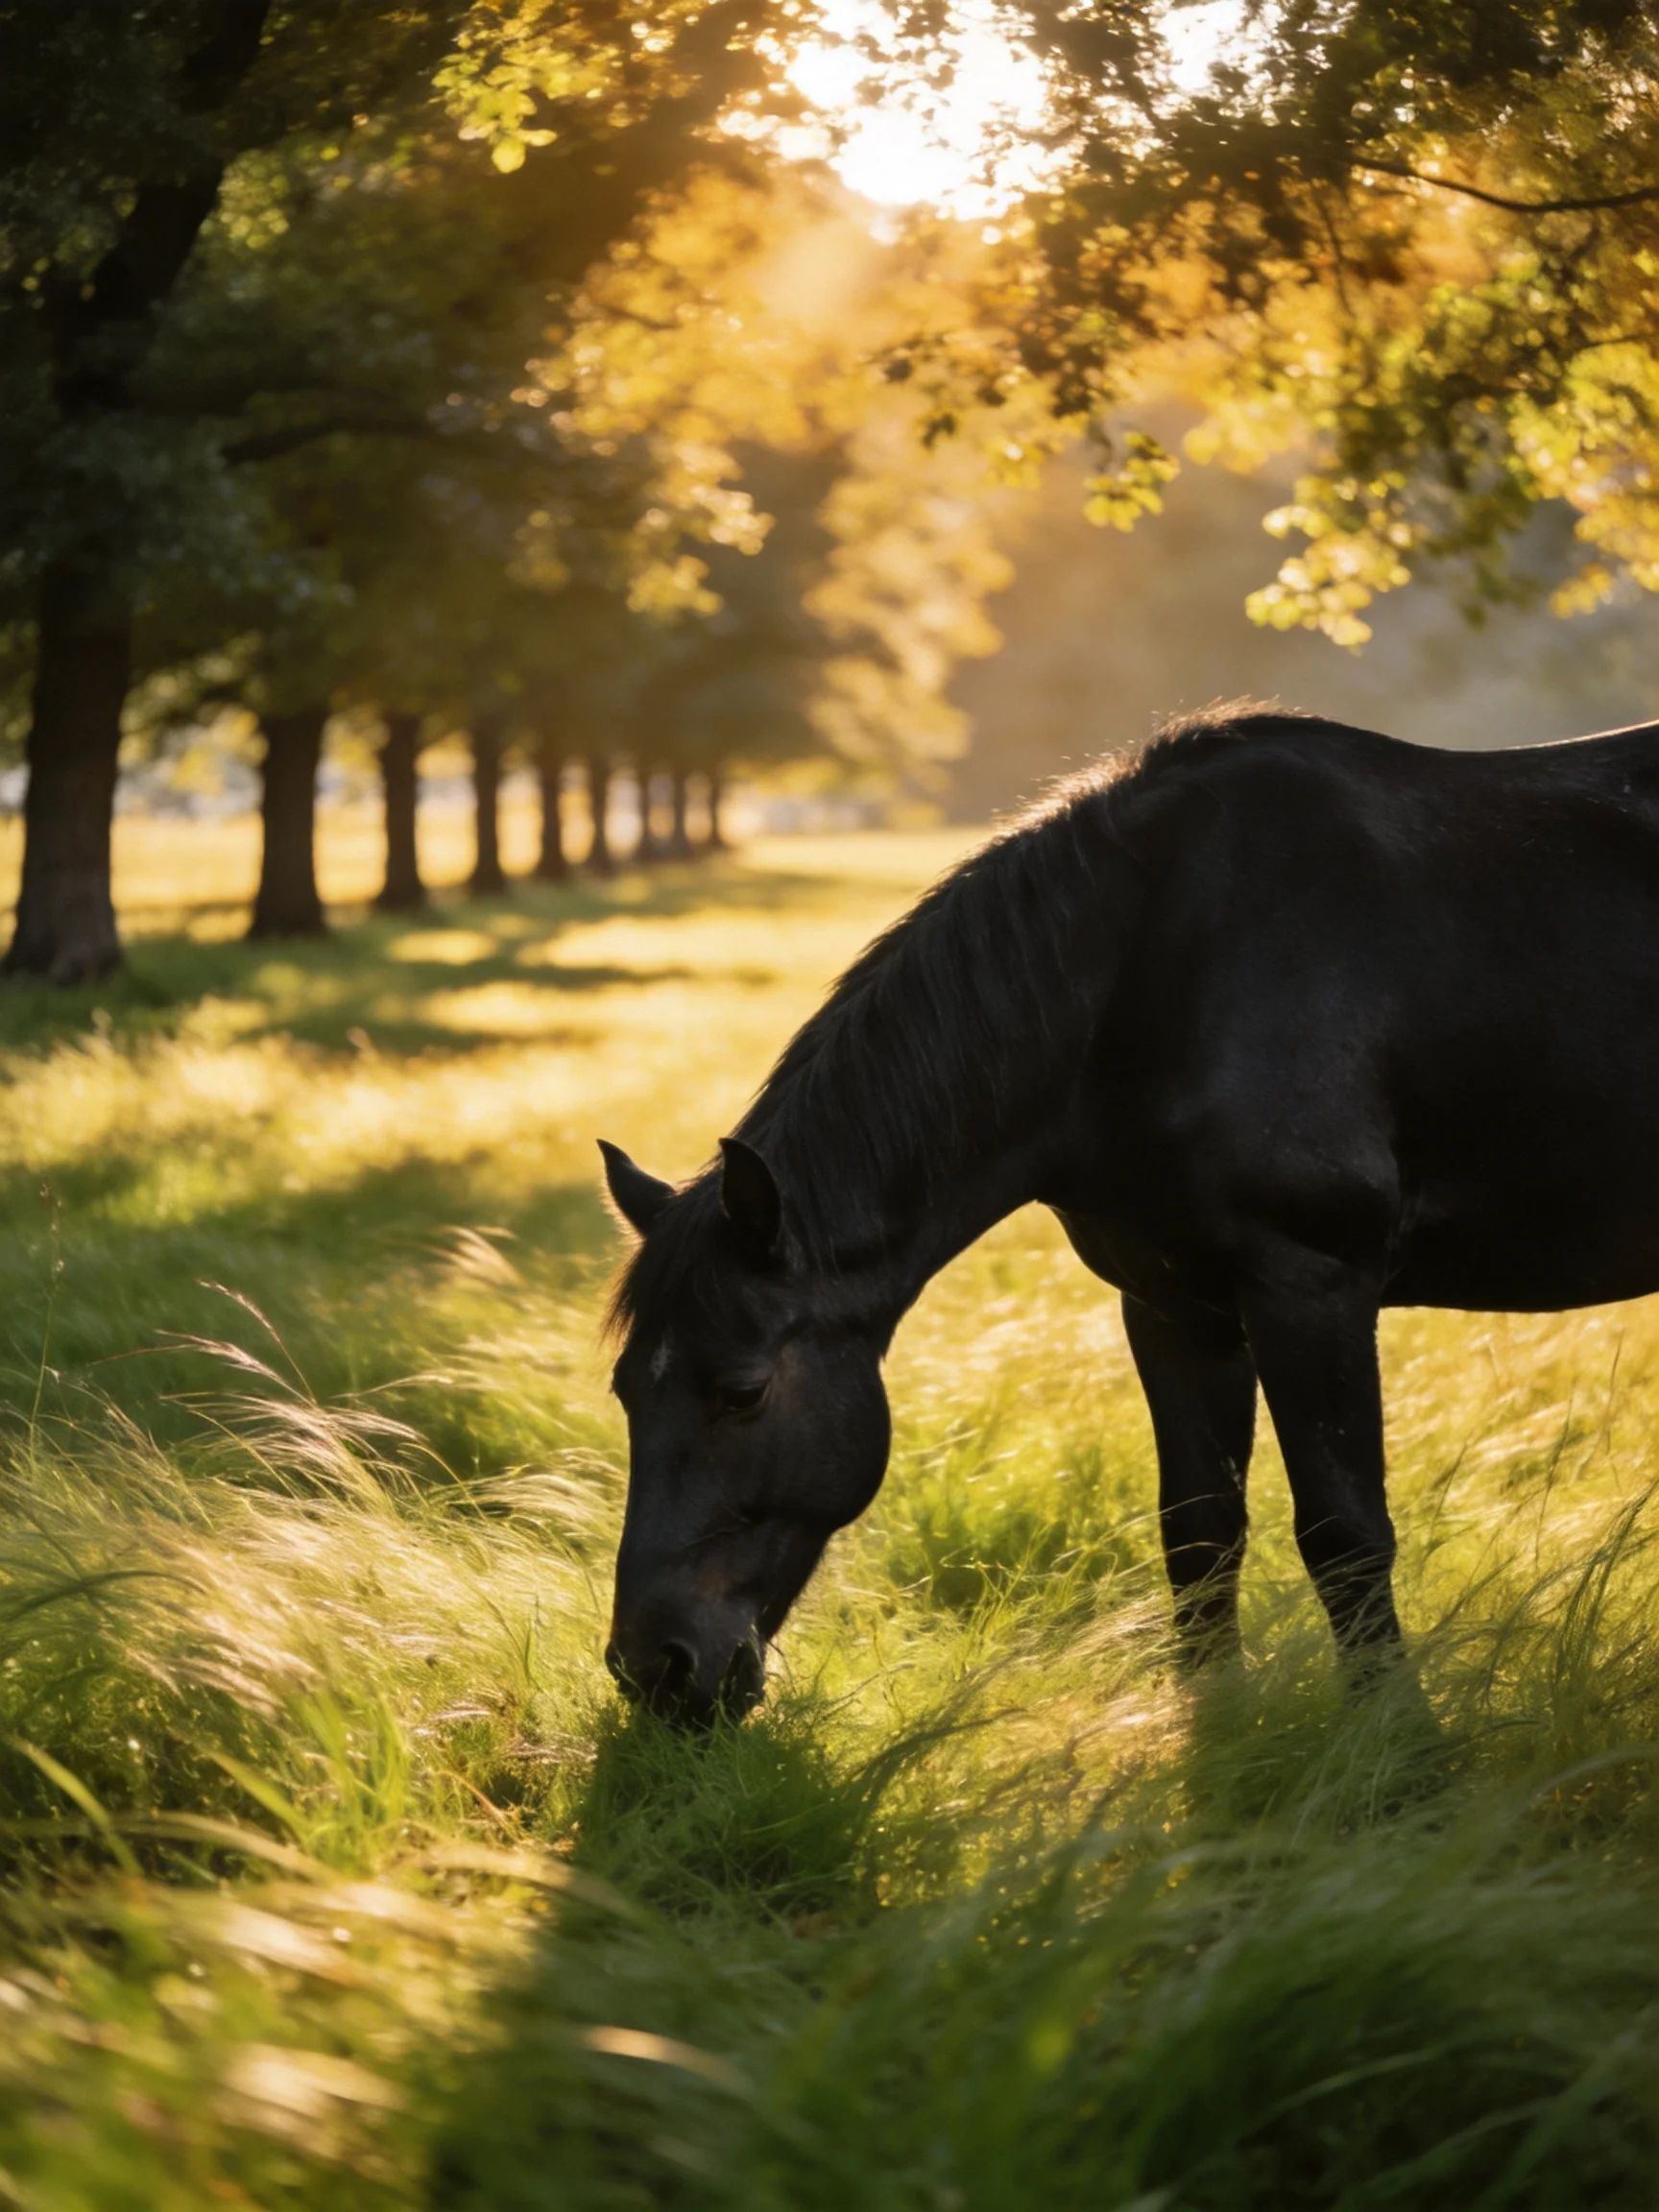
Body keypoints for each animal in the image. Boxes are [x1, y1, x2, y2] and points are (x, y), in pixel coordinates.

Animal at [599, 705, 1659, 1725]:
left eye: (741, 1392)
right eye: (624, 1391)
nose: (655, 1669)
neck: (1156, 971)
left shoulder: (1310, 1288)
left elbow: (1345, 1535)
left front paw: (1403, 1749)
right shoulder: (1171, 1307)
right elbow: (1198, 1532)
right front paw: (1212, 1731)